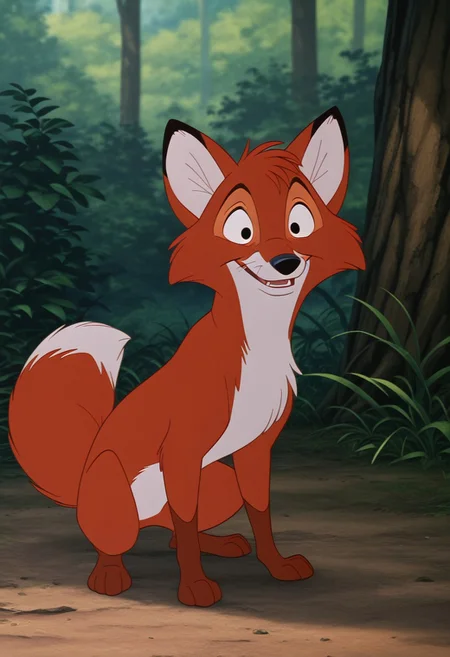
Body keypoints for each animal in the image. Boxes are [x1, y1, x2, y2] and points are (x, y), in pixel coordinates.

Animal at [8, 107, 365, 607]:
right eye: (242, 230)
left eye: (299, 223)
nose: (285, 262)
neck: (257, 347)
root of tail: (79, 480)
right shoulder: (181, 451)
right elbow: (189, 525)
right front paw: (194, 587)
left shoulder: (255, 451)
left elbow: (260, 516)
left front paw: (276, 567)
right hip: (114, 483)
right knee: (117, 541)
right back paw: (109, 575)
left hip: (220, 481)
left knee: (175, 532)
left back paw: (221, 544)